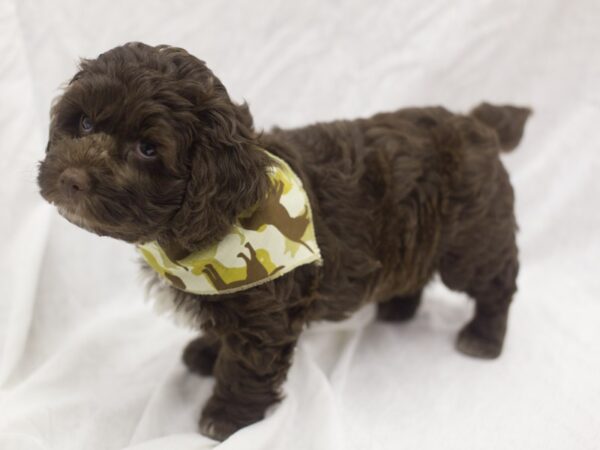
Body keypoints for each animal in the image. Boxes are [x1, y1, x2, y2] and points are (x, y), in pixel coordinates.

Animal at [38, 42, 528, 440]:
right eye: (84, 123)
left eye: (148, 149)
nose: (72, 179)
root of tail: (476, 124)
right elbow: (221, 330)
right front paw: (206, 352)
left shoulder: (265, 314)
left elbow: (246, 365)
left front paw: (225, 418)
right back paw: (397, 308)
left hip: (472, 240)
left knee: (497, 281)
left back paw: (482, 337)